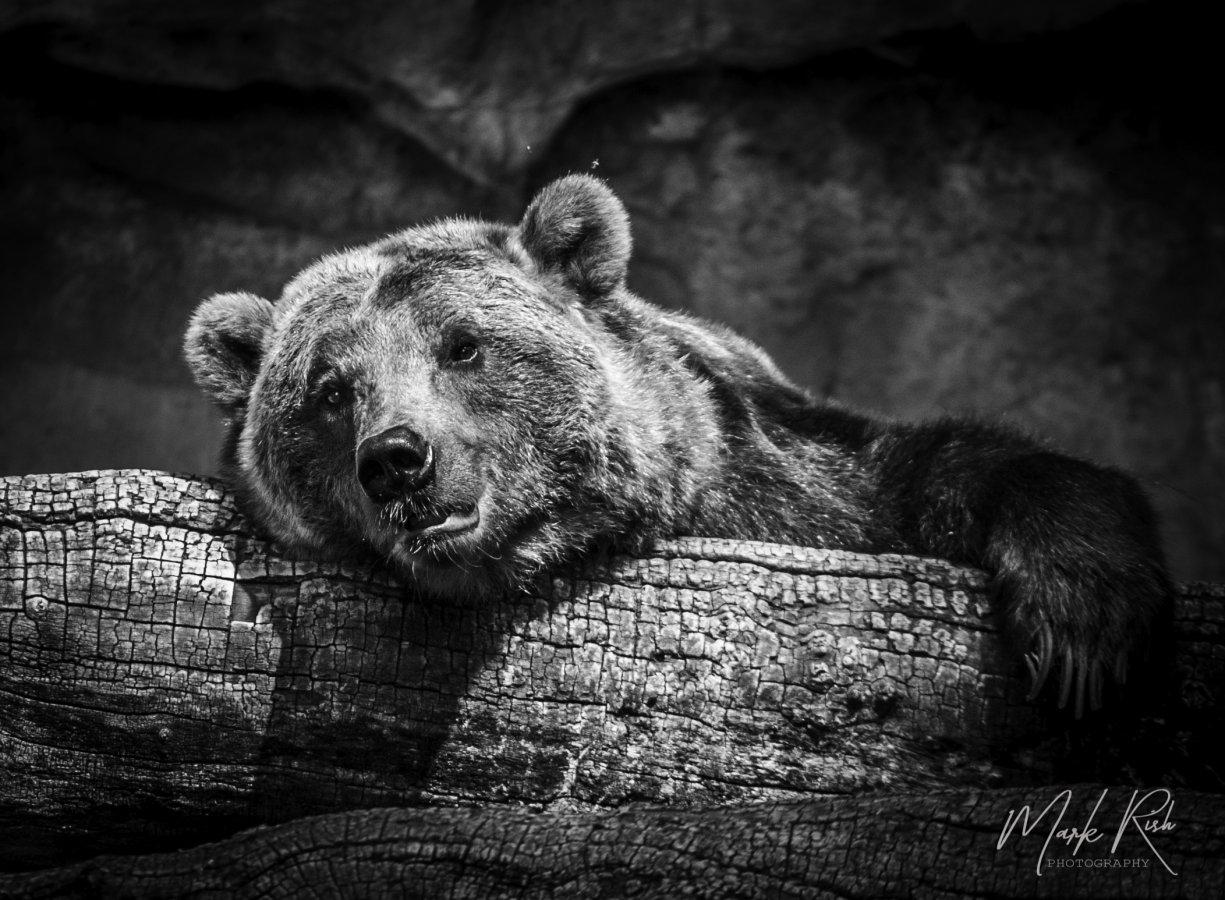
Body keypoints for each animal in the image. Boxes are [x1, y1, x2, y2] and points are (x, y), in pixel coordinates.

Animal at [184, 174, 1171, 718]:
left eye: (461, 345)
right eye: (330, 390)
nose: (397, 458)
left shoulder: (790, 477)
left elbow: (937, 469)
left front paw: (1078, 632)